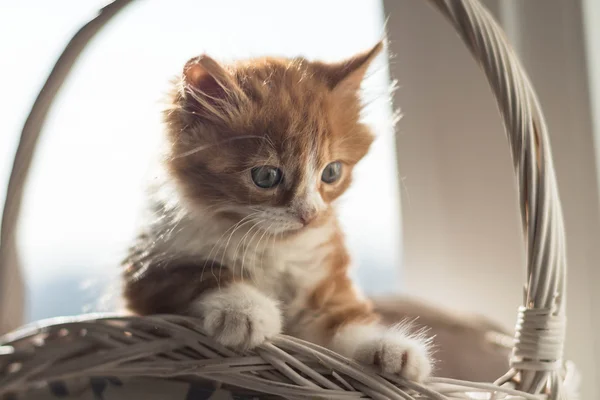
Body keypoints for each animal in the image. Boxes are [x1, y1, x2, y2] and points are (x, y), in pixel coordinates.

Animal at [122, 43, 432, 382]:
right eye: (266, 176)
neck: (269, 244)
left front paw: (390, 348)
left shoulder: (325, 283)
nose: (310, 214)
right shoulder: (147, 270)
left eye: (332, 172)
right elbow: (205, 274)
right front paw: (244, 312)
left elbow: (346, 319)